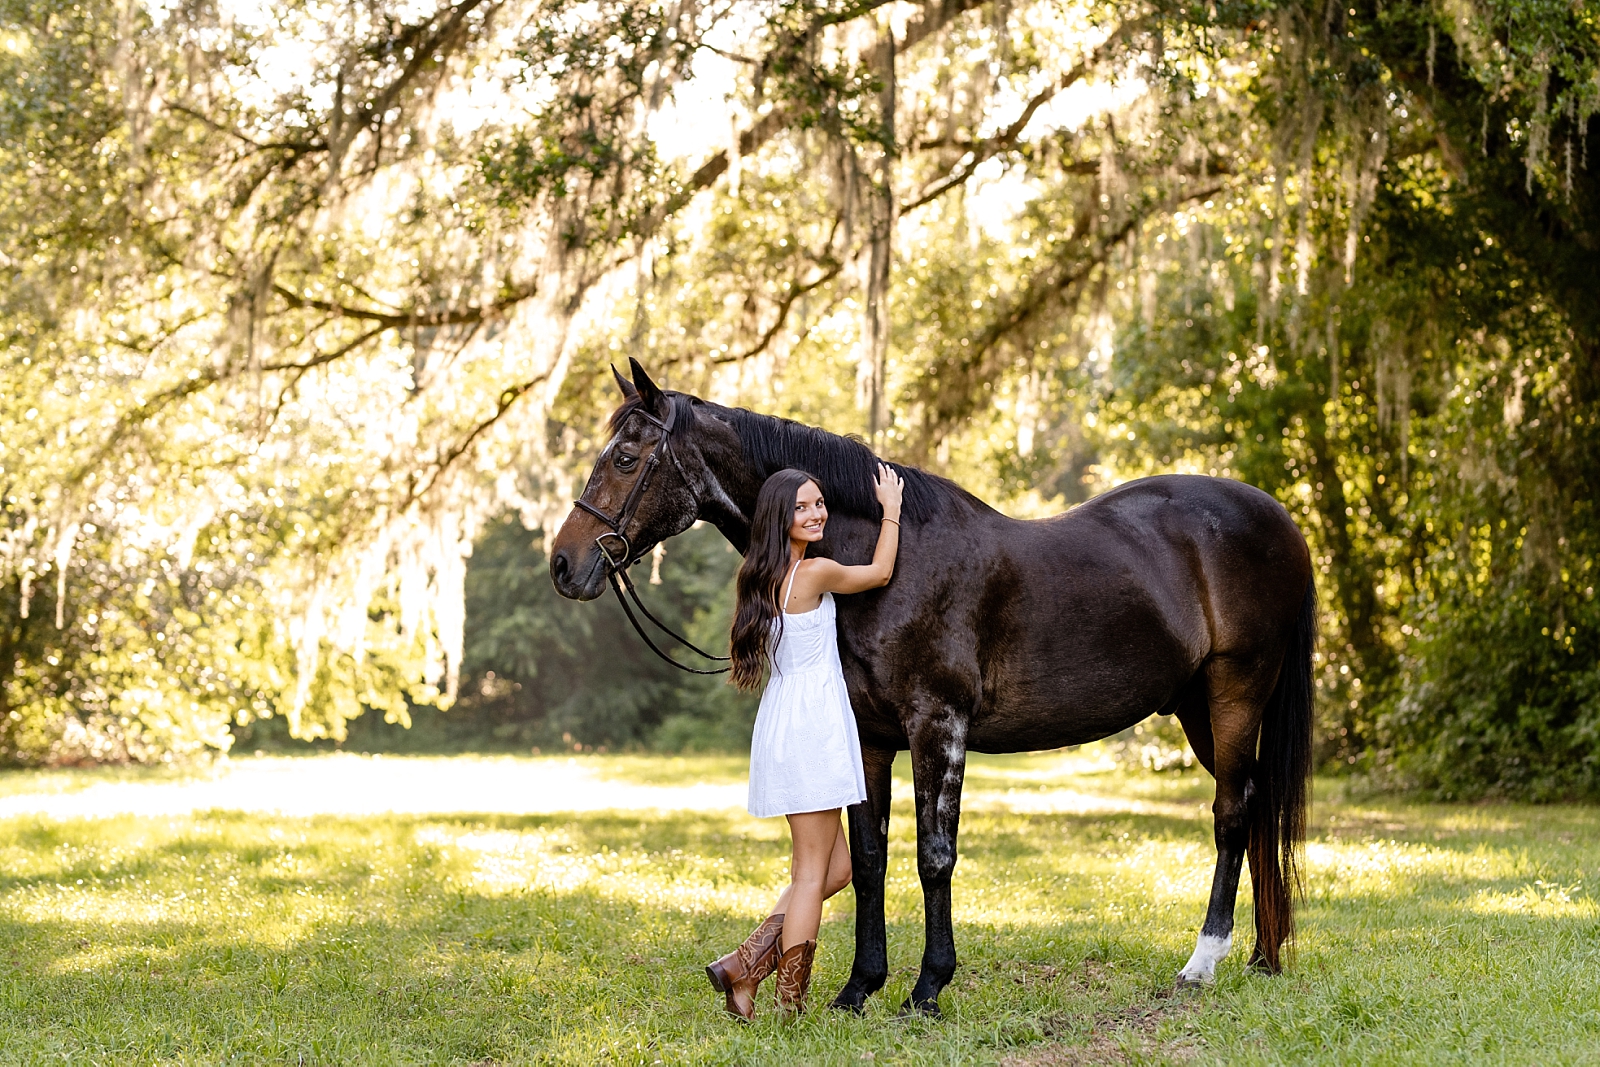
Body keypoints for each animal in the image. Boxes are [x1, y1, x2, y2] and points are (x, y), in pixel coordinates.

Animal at [550, 361, 1312, 1017]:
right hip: (1196, 708)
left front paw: (927, 987)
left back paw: (1202, 963)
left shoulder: (937, 725)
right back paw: (1262, 958)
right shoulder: (870, 737)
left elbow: (933, 856)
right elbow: (867, 860)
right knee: (1255, 804)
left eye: (625, 458)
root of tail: (1275, 516)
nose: (564, 563)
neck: (887, 559)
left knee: (1231, 814)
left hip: (1236, 693)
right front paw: (859, 986)